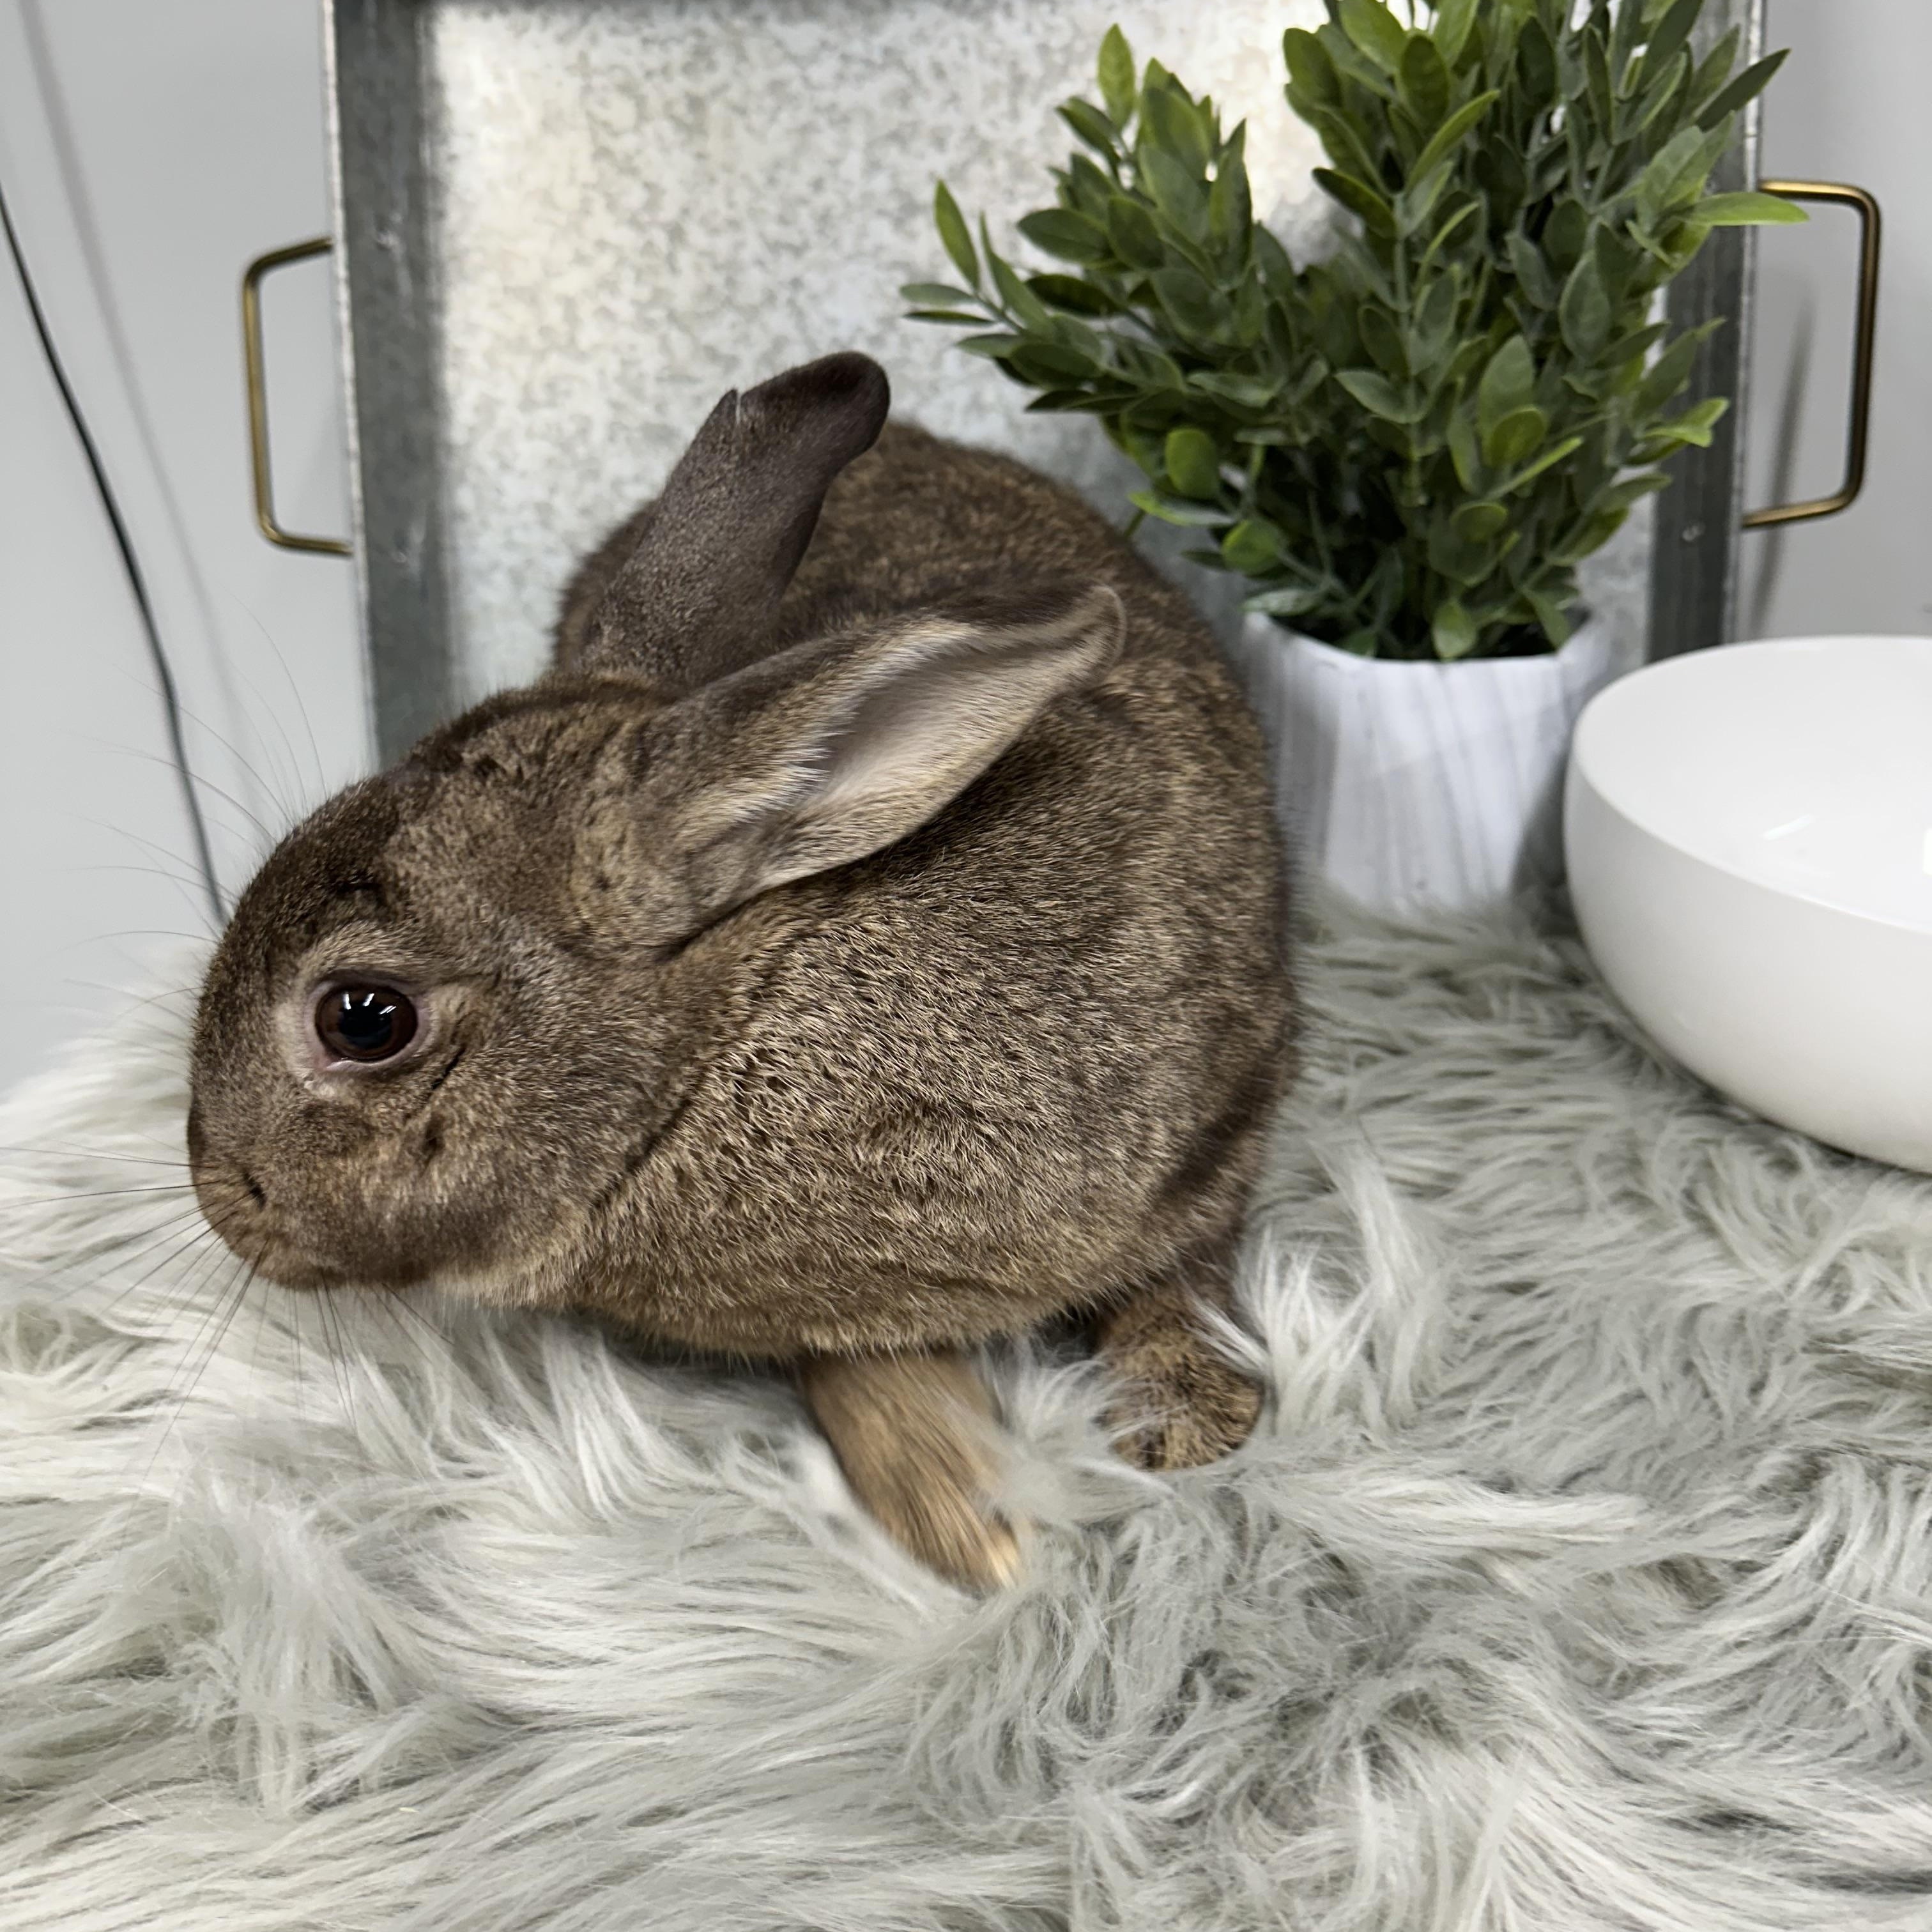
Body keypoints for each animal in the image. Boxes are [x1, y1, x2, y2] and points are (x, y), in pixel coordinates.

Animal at [186, 351, 1294, 1590]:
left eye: (364, 1018)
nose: (214, 1190)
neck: (717, 1053)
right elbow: (849, 1364)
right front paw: (962, 1510)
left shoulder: (1217, 1125)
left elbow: (1186, 1272)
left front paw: (1182, 1419)